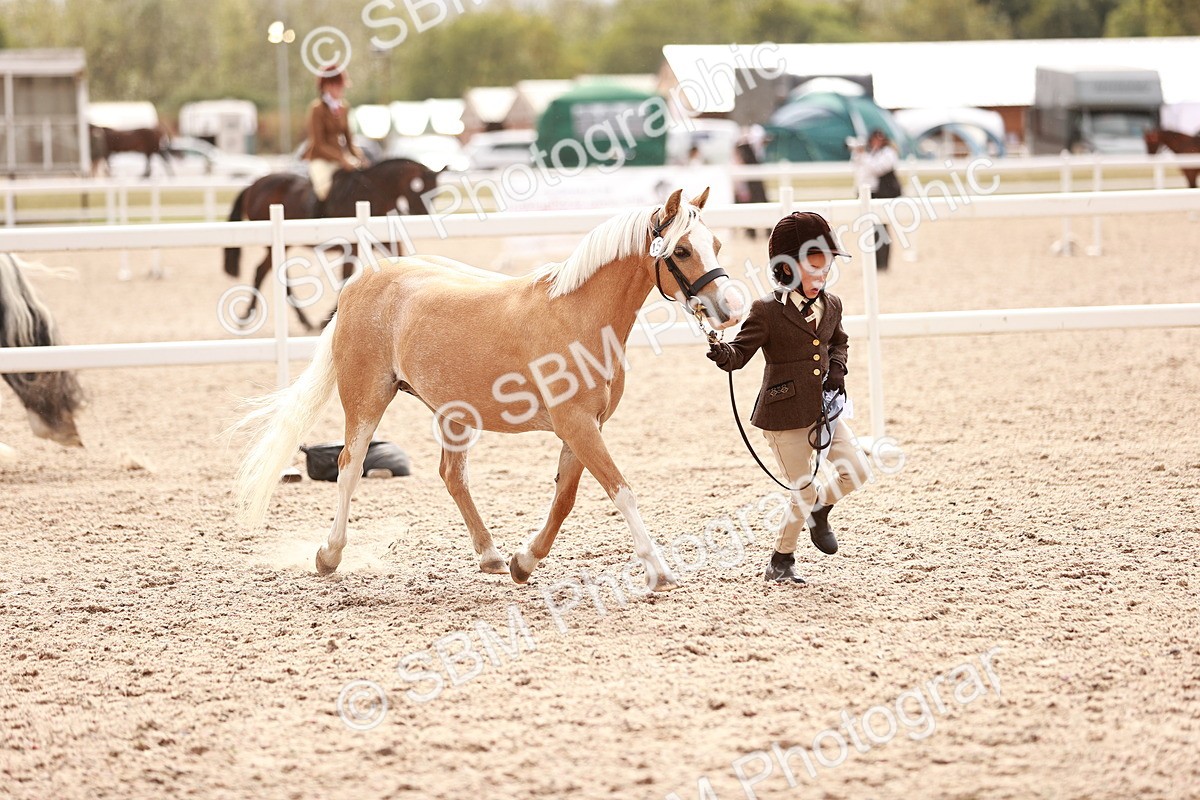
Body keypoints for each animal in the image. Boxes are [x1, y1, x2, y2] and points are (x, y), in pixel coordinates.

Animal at [222, 159, 439, 331]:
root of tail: (254, 184)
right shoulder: (351, 245)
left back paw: (302, 320)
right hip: (276, 244)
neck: (373, 193)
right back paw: (248, 316)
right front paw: (329, 317)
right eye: (418, 189)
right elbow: (346, 275)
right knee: (263, 271)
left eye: (435, 193)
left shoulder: (385, 241)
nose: (423, 216)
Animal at [233, 188, 744, 593]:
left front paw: (523, 562)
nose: (728, 310)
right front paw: (659, 571)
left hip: (453, 413)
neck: (577, 315)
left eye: (717, 244)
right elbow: (622, 491)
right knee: (349, 466)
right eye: (681, 250)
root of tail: (362, 281)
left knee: (452, 475)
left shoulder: (584, 427)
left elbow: (564, 501)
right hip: (366, 398)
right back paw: (330, 555)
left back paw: (491, 556)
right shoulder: (577, 425)